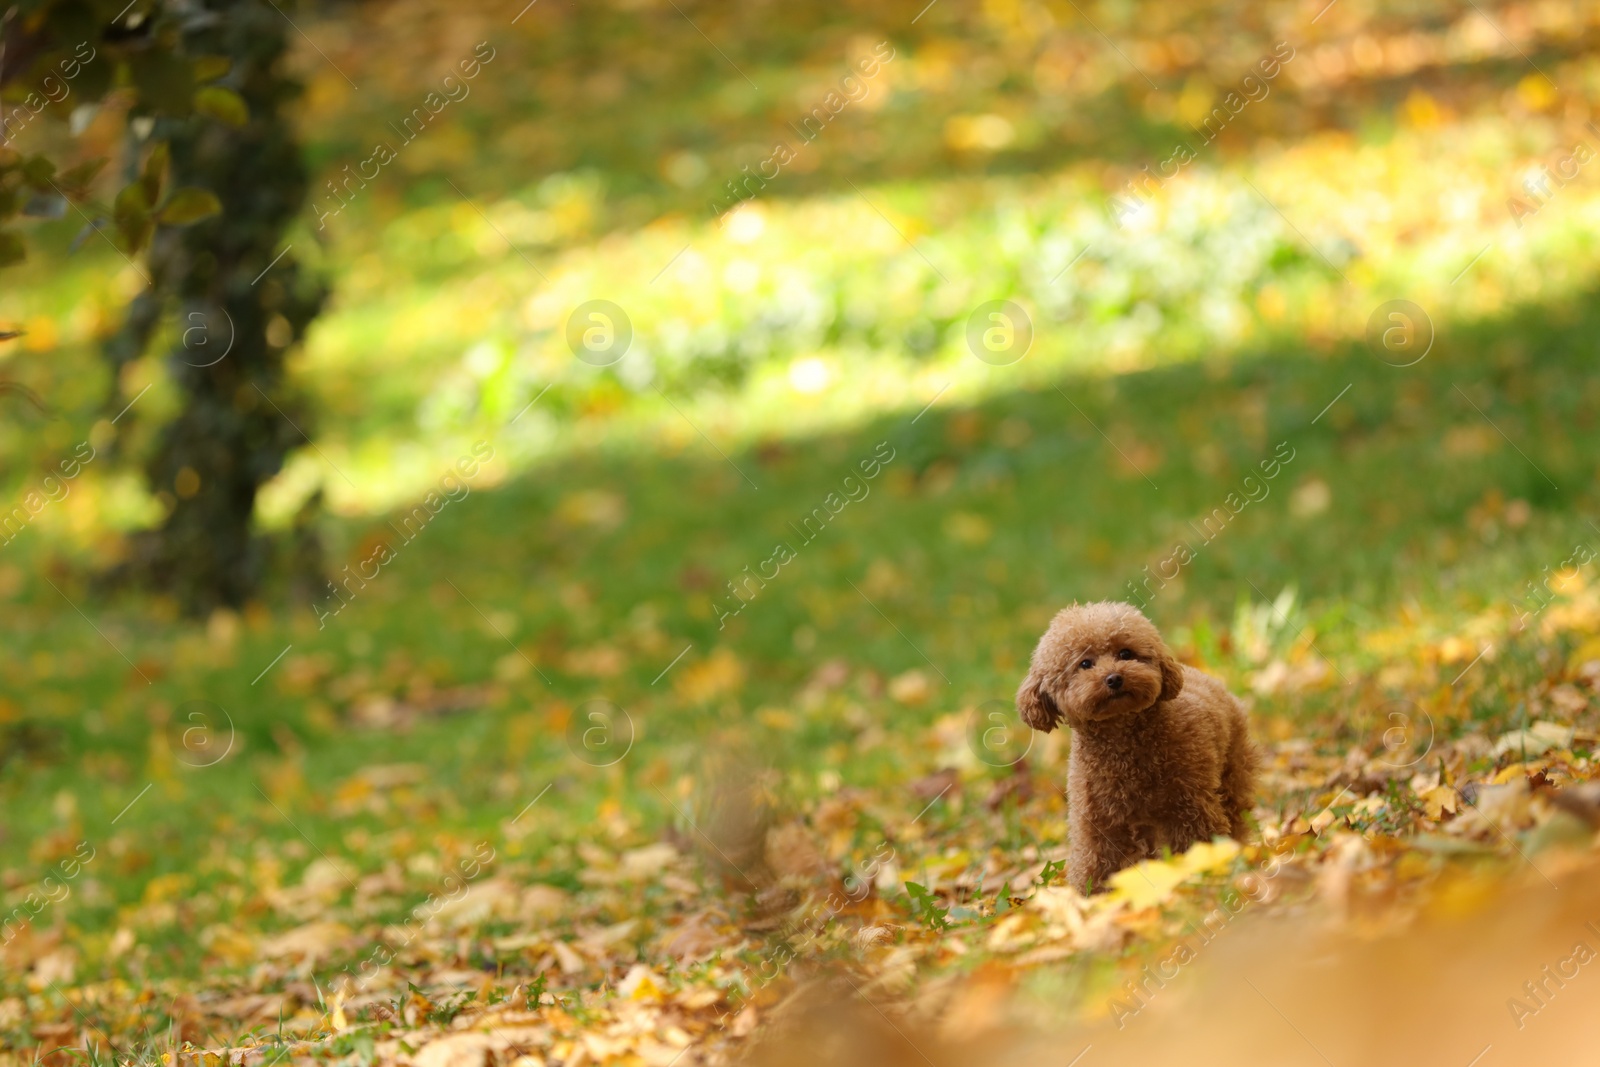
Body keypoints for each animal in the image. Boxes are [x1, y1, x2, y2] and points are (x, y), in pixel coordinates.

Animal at [1017, 601, 1254, 895]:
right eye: (1084, 663)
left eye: (1125, 653)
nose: (1114, 678)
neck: (1124, 746)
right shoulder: (1098, 824)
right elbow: (1094, 863)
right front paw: (1090, 899)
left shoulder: (1191, 806)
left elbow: (1200, 842)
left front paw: (1203, 872)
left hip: (1232, 773)